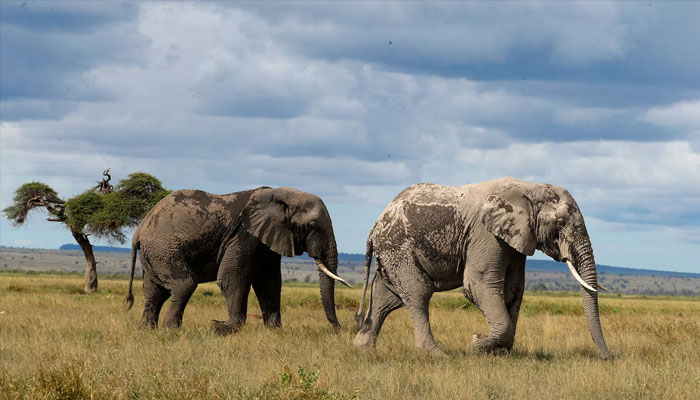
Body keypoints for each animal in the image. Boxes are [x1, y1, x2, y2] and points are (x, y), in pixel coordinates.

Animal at [125, 187, 350, 334]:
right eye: (312, 225)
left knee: (154, 291)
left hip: (156, 254)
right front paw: (221, 327)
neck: (280, 194)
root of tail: (139, 229)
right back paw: (171, 330)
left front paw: (274, 332)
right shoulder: (244, 235)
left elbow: (269, 283)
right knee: (183, 285)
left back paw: (147, 331)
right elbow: (231, 279)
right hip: (165, 249)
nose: (340, 330)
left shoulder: (267, 240)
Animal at [353, 177, 610, 359]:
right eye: (560, 223)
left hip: (392, 252)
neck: (530, 187)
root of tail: (376, 224)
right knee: (418, 293)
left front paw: (499, 353)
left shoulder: (516, 237)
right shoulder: (485, 234)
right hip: (398, 247)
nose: (608, 357)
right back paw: (436, 355)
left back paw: (362, 348)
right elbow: (478, 283)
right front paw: (478, 343)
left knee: (386, 297)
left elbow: (514, 289)